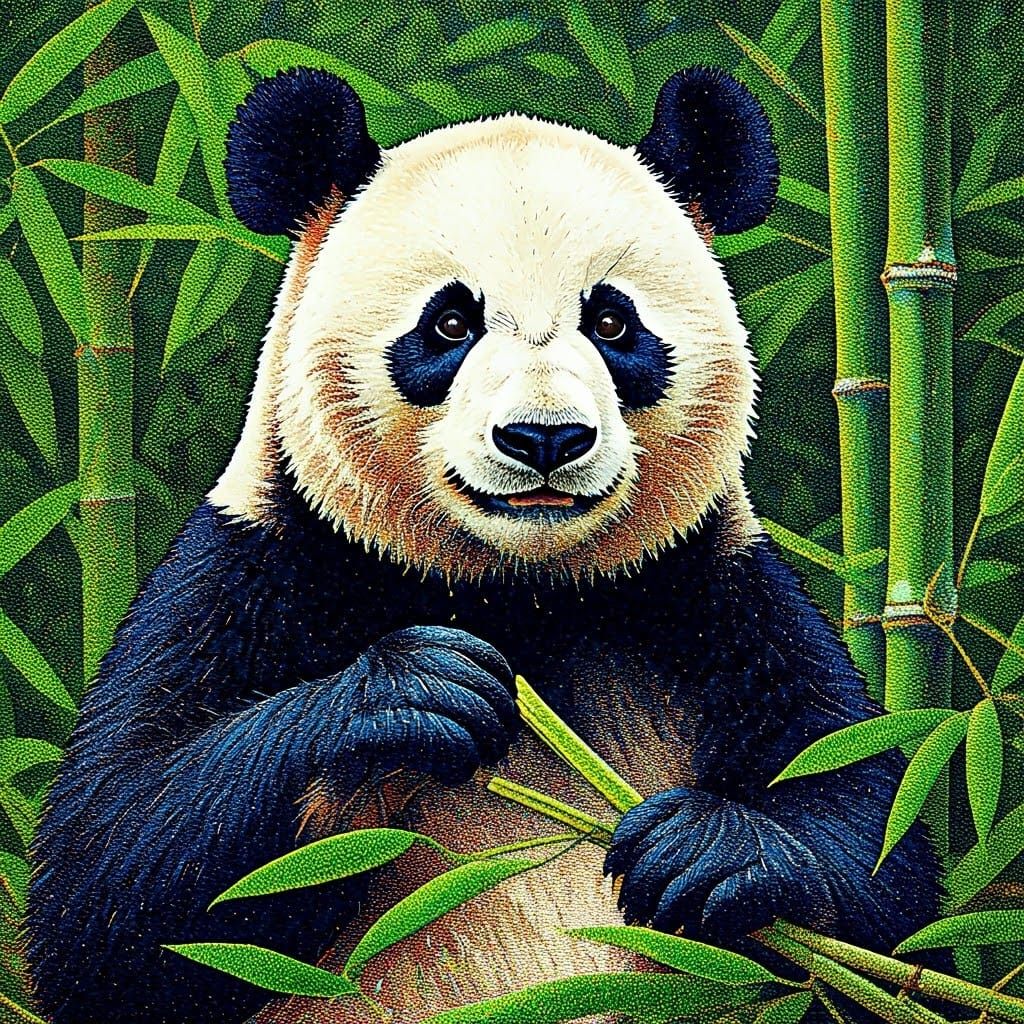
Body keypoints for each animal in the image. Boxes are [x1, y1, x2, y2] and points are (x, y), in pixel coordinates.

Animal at [28, 66, 939, 1024]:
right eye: (450, 324)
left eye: (612, 324)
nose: (544, 437)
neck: (519, 592)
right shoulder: (258, 566)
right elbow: (116, 884)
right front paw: (422, 687)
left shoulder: (712, 593)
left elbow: (877, 860)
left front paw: (710, 852)